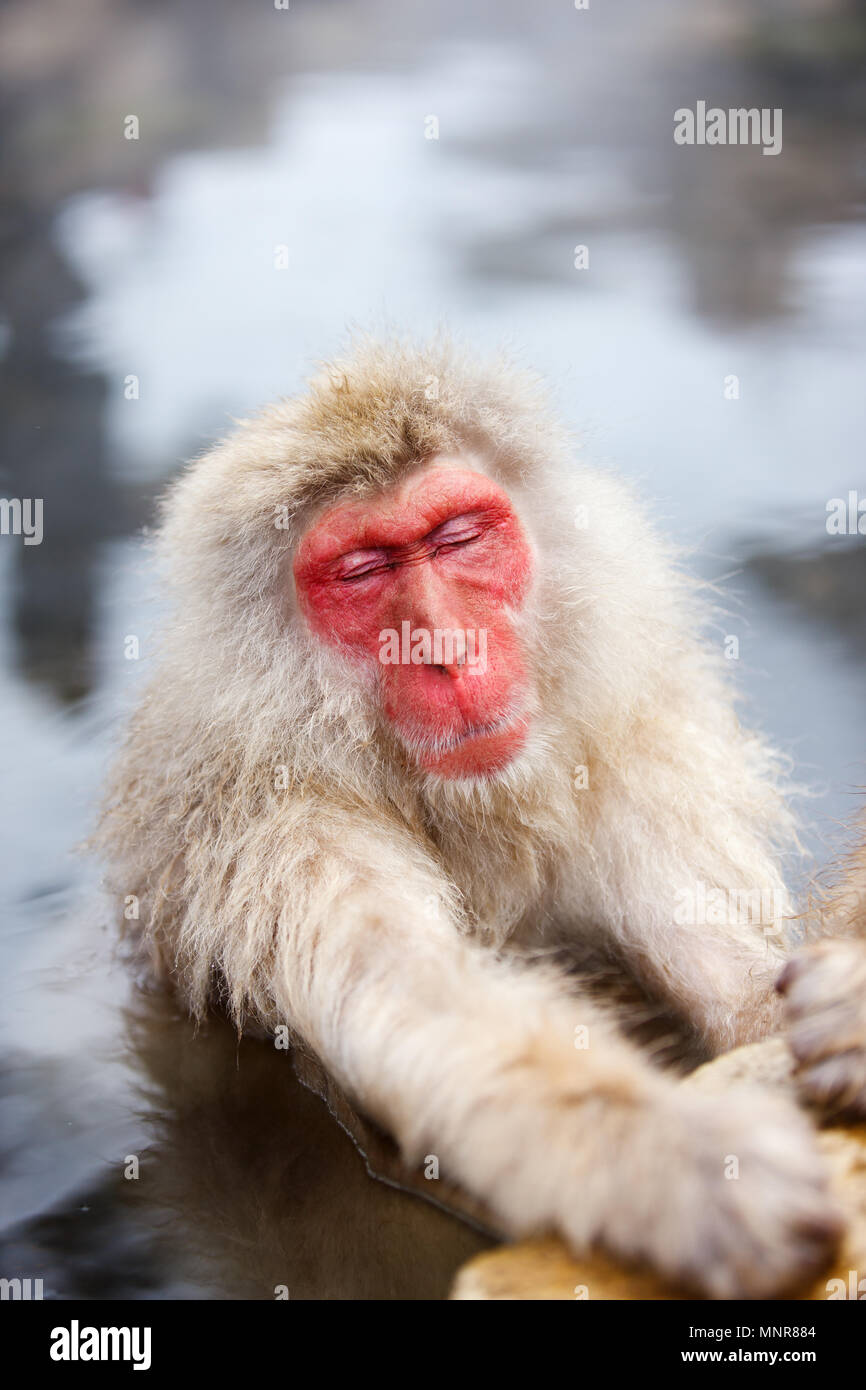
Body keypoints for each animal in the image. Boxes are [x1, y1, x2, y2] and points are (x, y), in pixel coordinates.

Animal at [97, 337, 866, 1299]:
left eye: (459, 536)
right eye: (361, 571)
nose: (446, 648)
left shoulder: (628, 758)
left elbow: (744, 992)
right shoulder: (270, 821)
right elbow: (409, 991)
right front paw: (672, 1163)